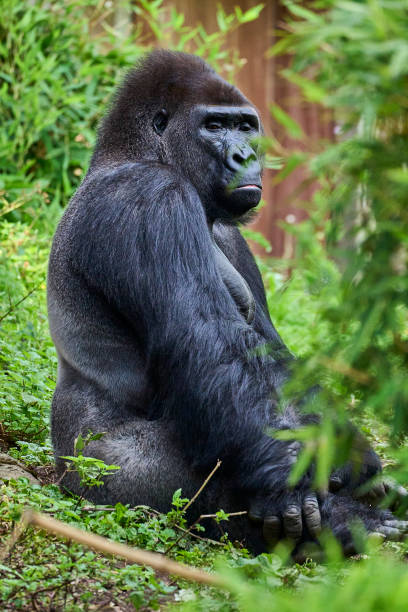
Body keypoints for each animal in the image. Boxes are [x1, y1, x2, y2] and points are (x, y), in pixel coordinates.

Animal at [48, 49, 408, 556]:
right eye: (214, 125)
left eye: (246, 126)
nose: (247, 156)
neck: (136, 153)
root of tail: (61, 469)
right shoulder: (150, 196)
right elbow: (205, 342)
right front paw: (286, 485)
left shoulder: (232, 235)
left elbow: (274, 353)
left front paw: (354, 457)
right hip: (100, 476)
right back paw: (345, 523)